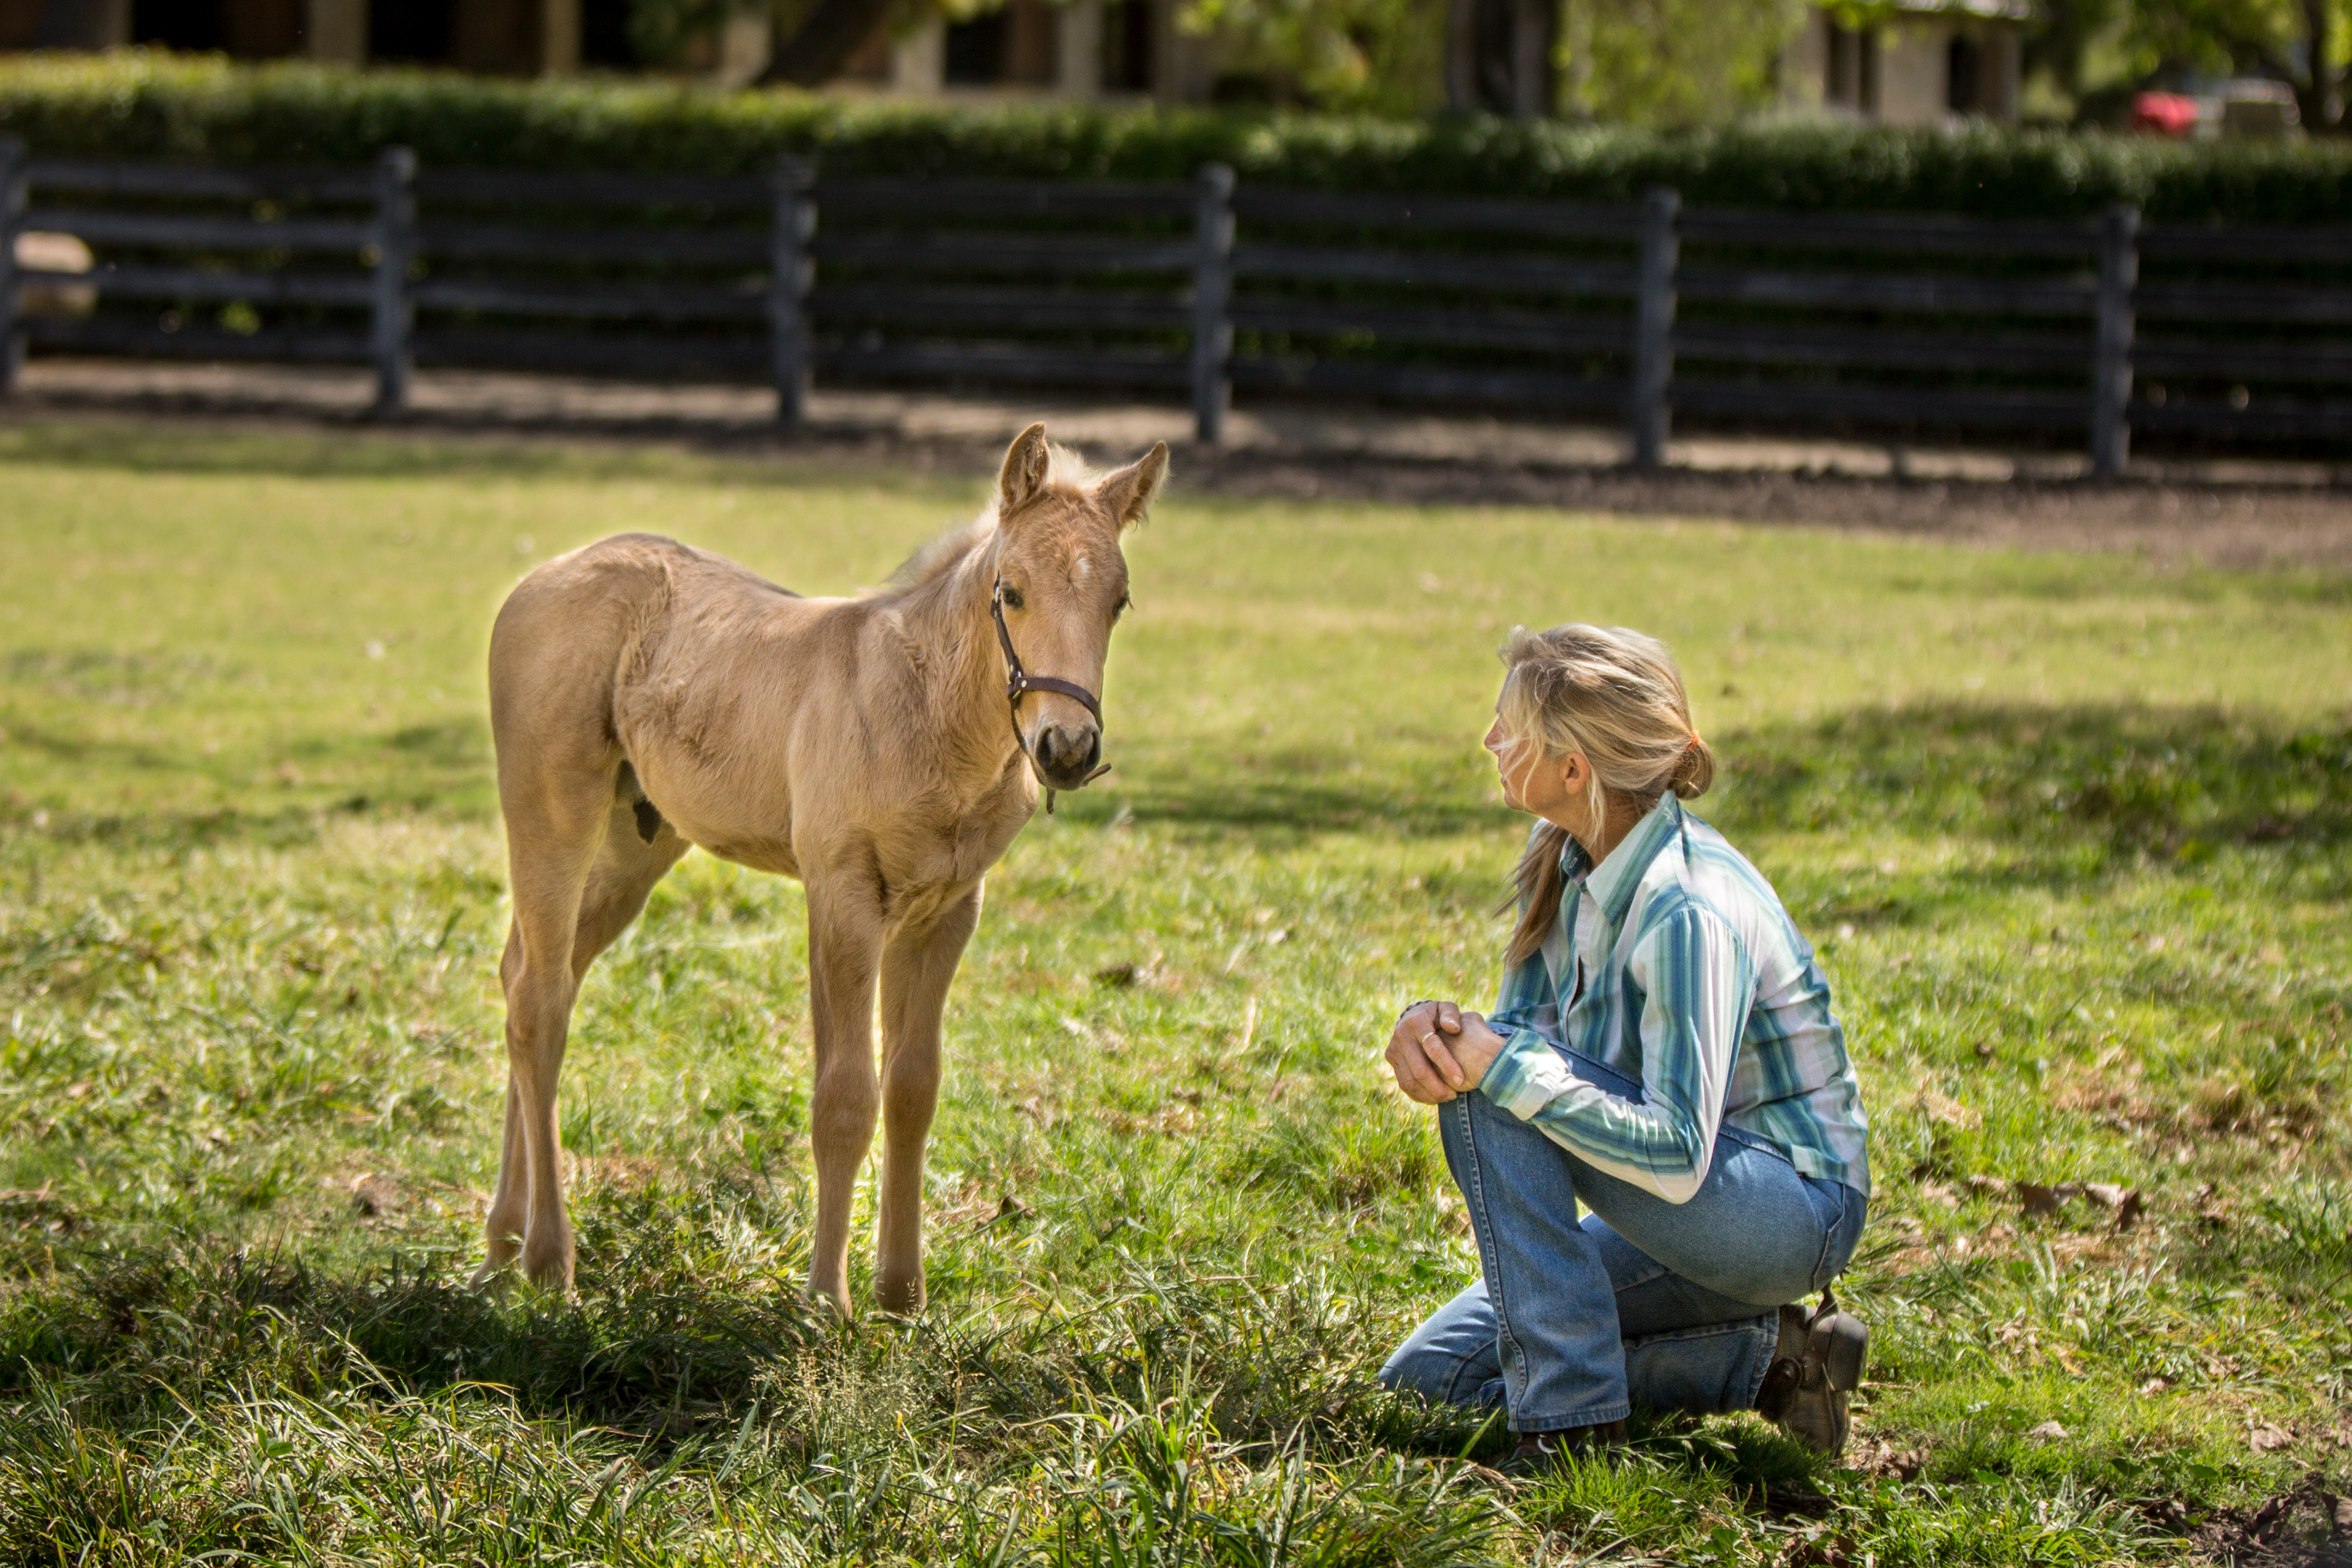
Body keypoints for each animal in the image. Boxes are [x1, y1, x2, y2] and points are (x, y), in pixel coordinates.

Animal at [477, 425, 1166, 1316]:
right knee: (539, 1001)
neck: (928, 712)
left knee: (530, 974)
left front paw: (901, 1294)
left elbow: (912, 1089)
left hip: (637, 845)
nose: (1069, 748)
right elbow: (845, 1096)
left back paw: (501, 1243)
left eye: (1117, 602)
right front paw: (825, 1302)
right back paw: (546, 1260)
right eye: (1011, 592)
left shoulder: (948, 908)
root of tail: (541, 577)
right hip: (555, 810)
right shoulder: (843, 895)